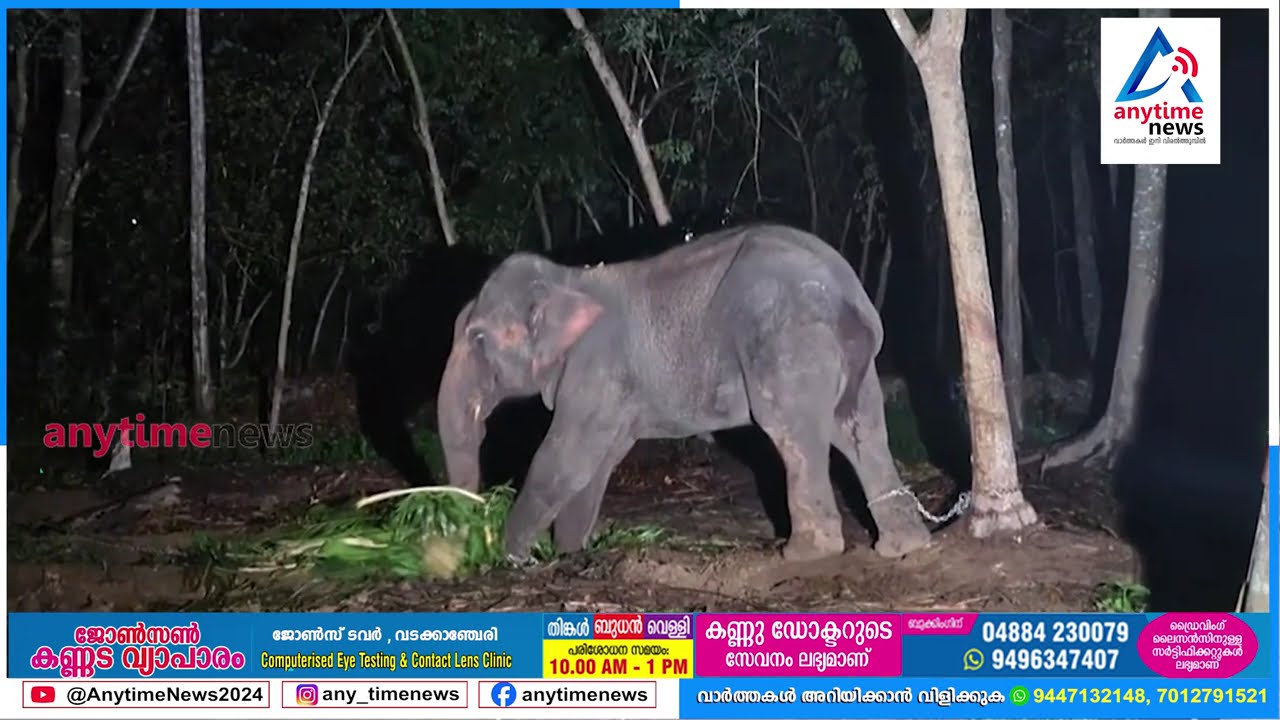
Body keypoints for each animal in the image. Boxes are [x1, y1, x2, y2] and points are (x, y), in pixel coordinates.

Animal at [437, 222, 933, 564]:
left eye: (478, 339)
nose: (472, 527)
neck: (570, 279)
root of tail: (845, 287)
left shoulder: (597, 367)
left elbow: (565, 457)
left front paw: (510, 557)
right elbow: (597, 464)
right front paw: (572, 553)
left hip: (786, 342)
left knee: (792, 430)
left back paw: (807, 552)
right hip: (852, 357)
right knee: (858, 428)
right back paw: (904, 545)